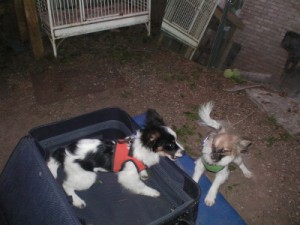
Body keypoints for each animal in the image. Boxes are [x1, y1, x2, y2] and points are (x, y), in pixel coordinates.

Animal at [47, 108, 184, 207]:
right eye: (170, 146)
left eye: (176, 141)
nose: (183, 152)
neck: (143, 147)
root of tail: (64, 151)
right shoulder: (128, 176)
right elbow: (140, 186)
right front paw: (152, 192)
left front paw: (143, 172)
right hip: (86, 177)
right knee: (66, 185)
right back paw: (77, 201)